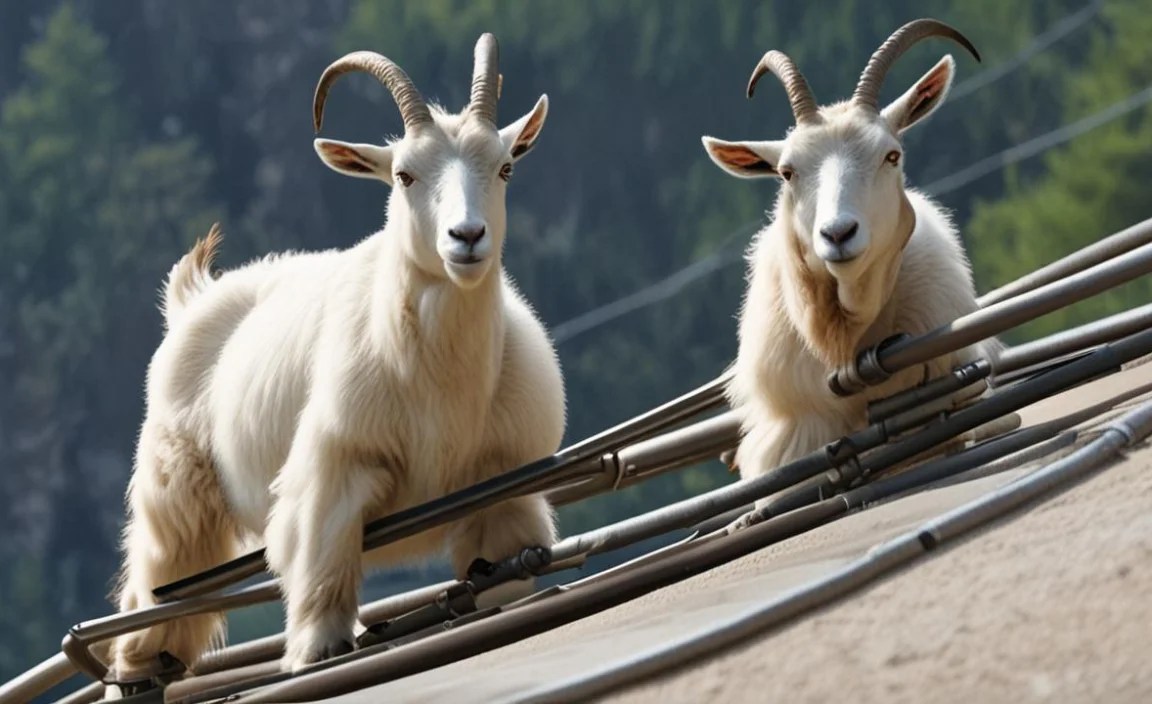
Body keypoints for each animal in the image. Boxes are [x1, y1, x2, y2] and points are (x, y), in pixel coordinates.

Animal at [108, 33, 564, 681]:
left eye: (505, 167)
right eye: (403, 175)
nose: (467, 237)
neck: (436, 377)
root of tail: (191, 298)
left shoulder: (504, 486)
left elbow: (503, 570)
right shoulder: (334, 472)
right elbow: (322, 572)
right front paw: (316, 650)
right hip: (176, 491)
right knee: (156, 581)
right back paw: (141, 668)